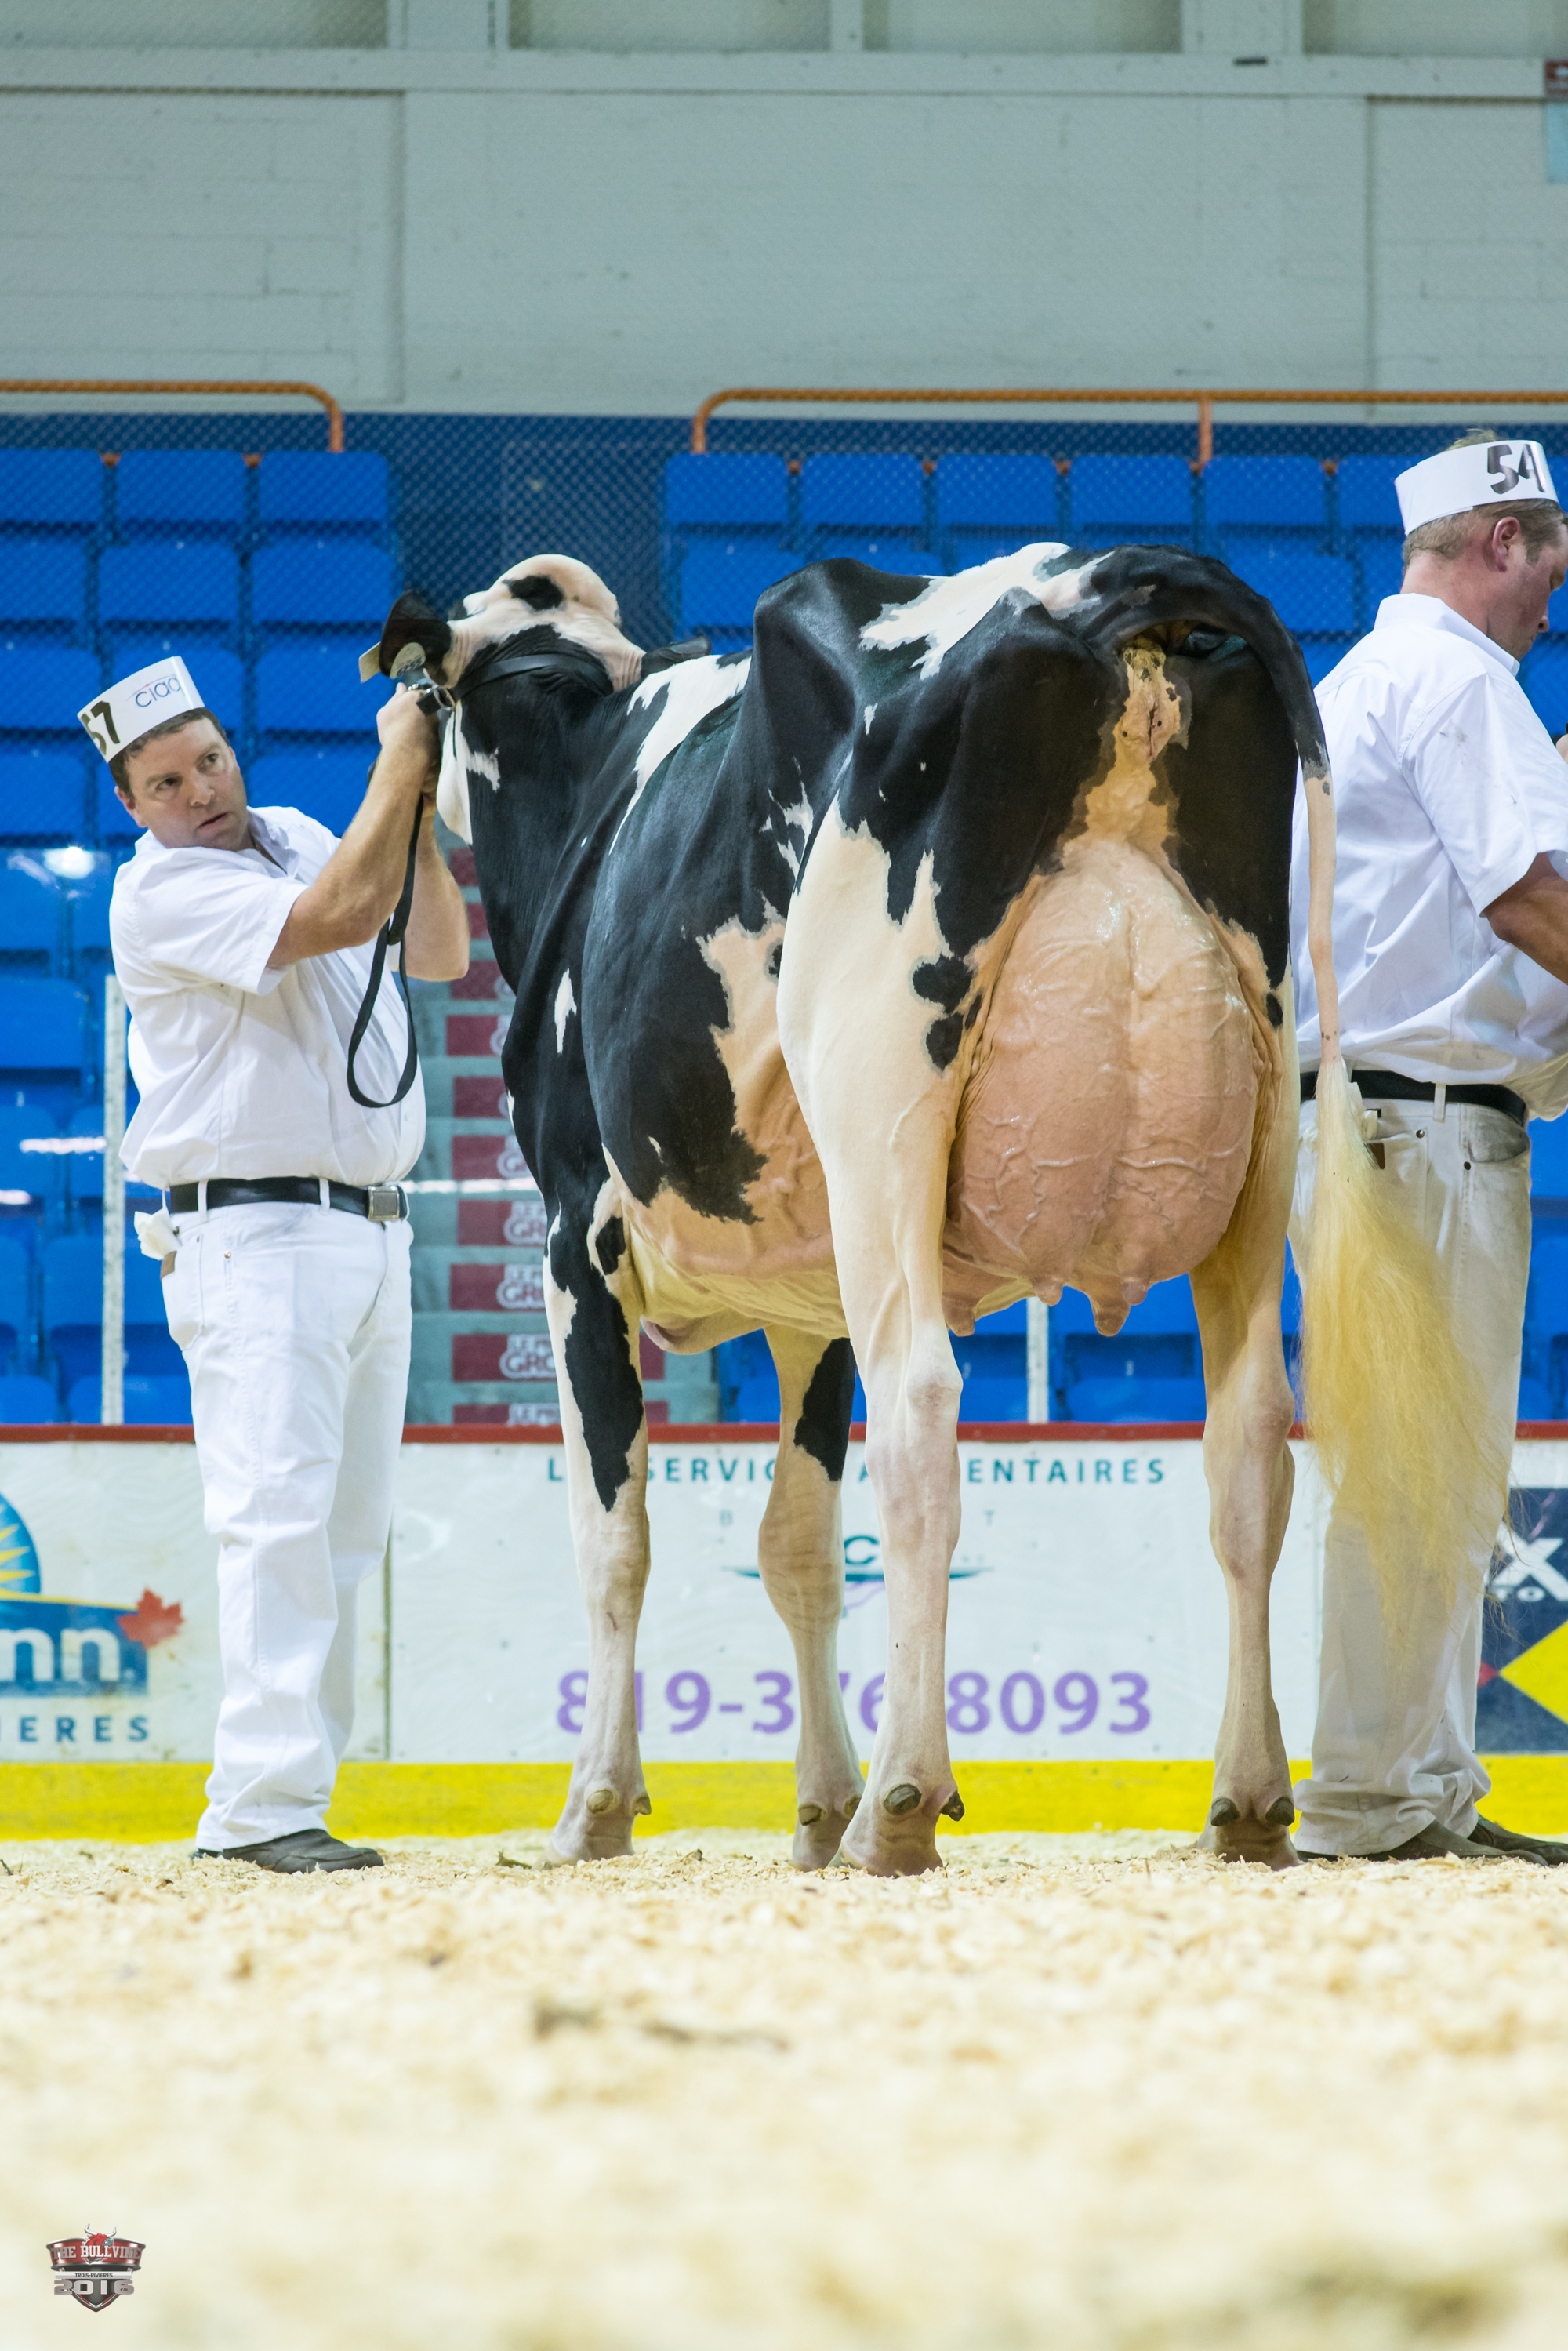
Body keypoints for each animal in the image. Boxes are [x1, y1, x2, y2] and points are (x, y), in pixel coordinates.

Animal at [370, 539, 1475, 1876]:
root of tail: (1101, 581)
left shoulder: (579, 1241)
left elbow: (615, 1535)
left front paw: (600, 1804)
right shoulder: (808, 1302)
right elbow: (796, 1545)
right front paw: (812, 1801)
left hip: (883, 1113)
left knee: (925, 1419)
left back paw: (905, 1797)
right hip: (1258, 1124)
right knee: (1251, 1440)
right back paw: (1249, 1796)